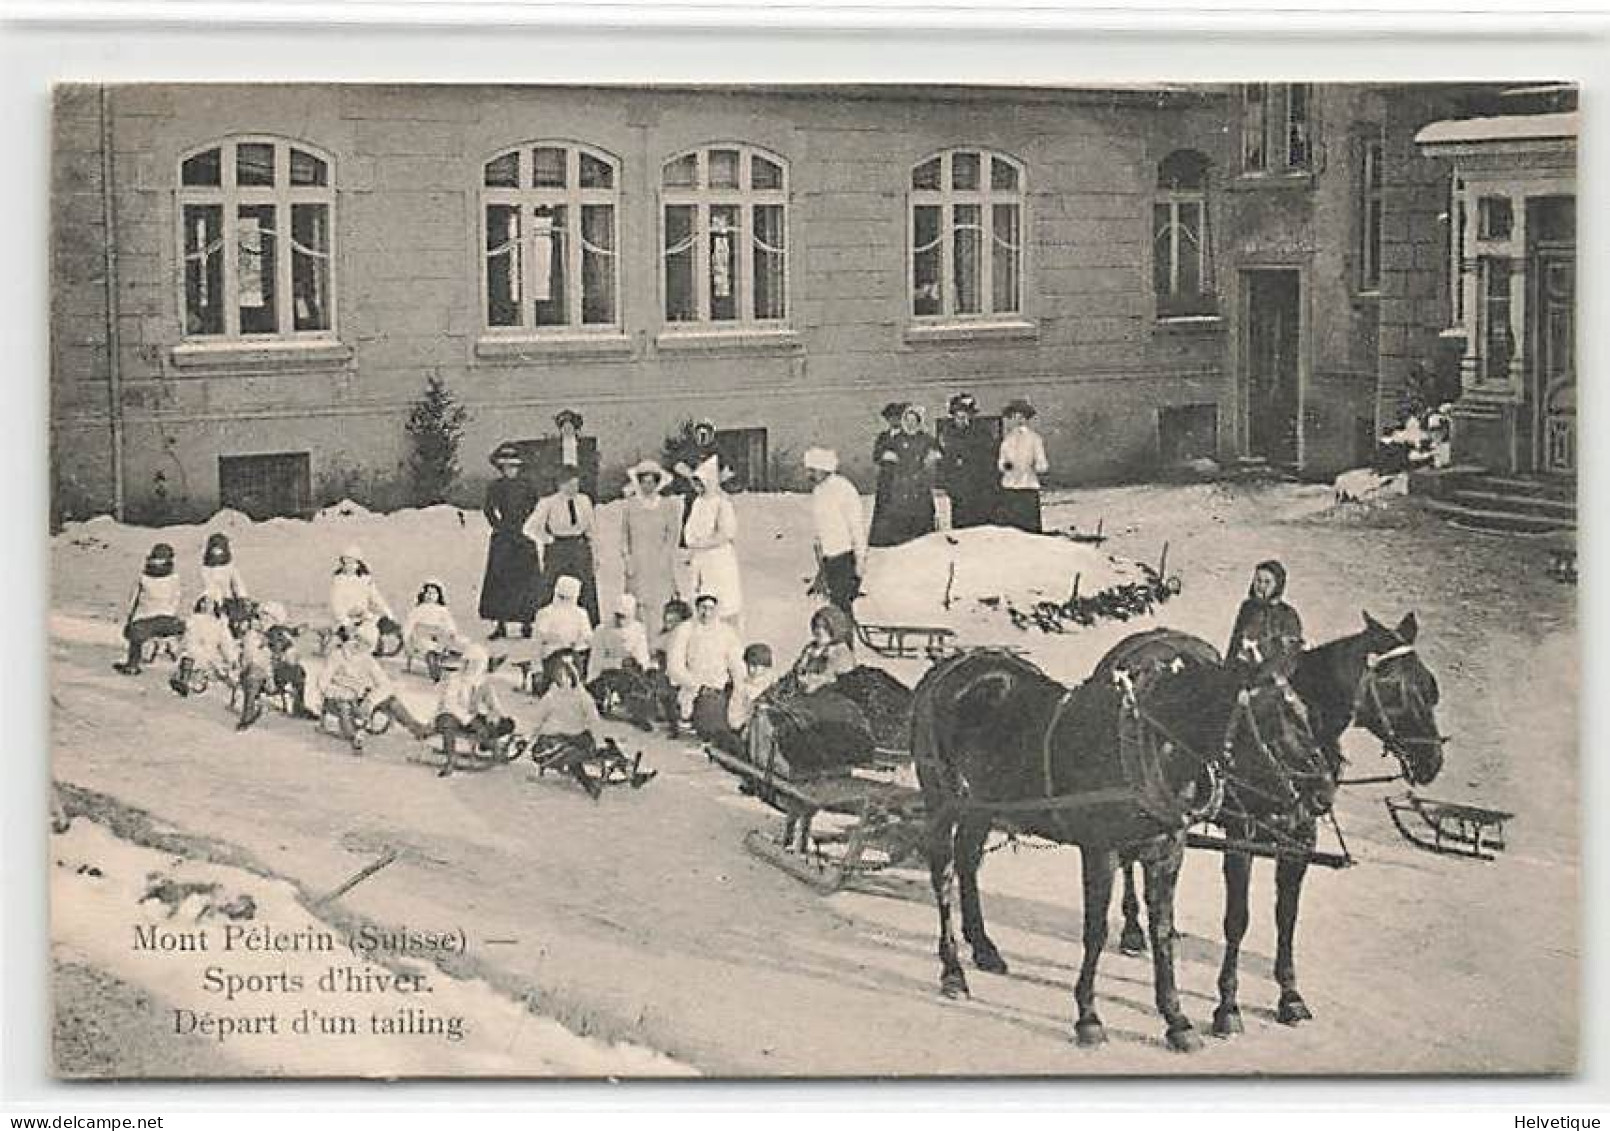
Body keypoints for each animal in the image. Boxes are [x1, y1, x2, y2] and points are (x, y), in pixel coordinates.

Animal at [914, 634, 1313, 1056]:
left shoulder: (1166, 854)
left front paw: (1176, 1019)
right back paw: (952, 970)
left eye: (1304, 712)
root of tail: (950, 665)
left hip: (983, 805)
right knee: (943, 871)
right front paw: (1088, 1017)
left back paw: (984, 949)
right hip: (941, 798)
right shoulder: (1099, 851)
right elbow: (1096, 931)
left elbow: (1163, 933)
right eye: (1276, 717)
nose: (1314, 795)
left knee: (967, 860)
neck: (1150, 748)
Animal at [1120, 612, 1449, 1037]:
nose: (1432, 761)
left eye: (1429, 685)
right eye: (1394, 687)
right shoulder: (1241, 838)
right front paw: (1227, 1006)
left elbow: (1286, 918)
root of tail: (1150, 636)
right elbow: (1238, 920)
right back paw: (1131, 928)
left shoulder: (1300, 840)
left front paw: (1290, 997)